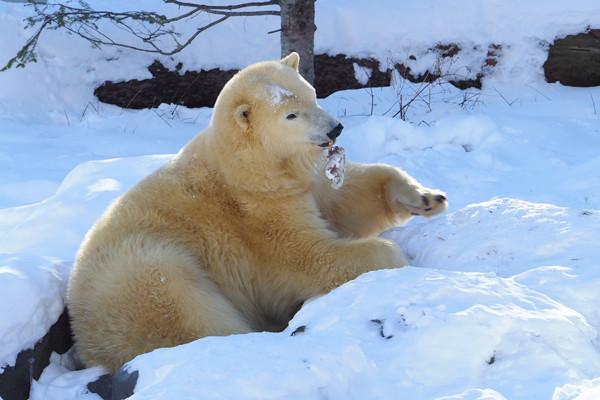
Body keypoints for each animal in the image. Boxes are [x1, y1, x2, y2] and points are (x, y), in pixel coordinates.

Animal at [68, 52, 448, 372]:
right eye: (290, 114)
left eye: (312, 94)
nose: (335, 129)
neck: (245, 169)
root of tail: (84, 340)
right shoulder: (258, 215)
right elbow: (309, 258)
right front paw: (392, 255)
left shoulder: (304, 182)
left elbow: (347, 197)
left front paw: (425, 197)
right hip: (145, 273)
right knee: (187, 311)